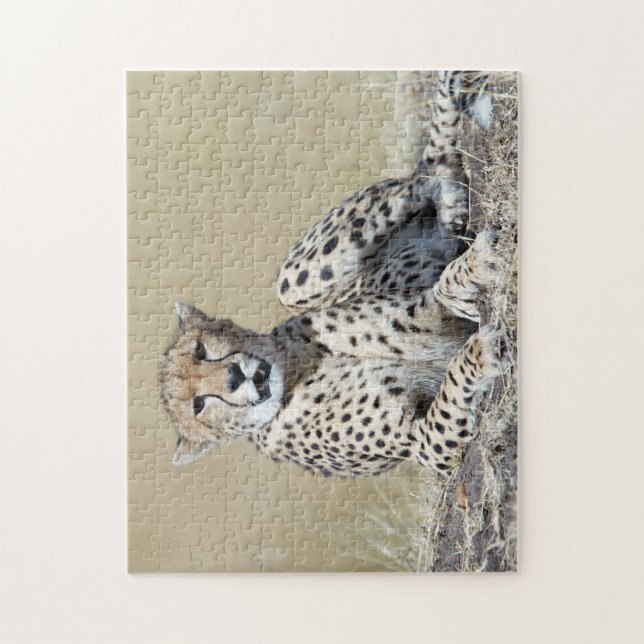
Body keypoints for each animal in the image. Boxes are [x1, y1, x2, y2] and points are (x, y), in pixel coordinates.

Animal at [159, 71, 506, 477]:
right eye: (198, 405)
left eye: (201, 349)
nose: (234, 376)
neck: (296, 373)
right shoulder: (423, 445)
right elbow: (450, 387)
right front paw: (482, 349)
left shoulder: (419, 307)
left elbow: (445, 289)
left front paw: (477, 267)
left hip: (298, 279)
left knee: (423, 172)